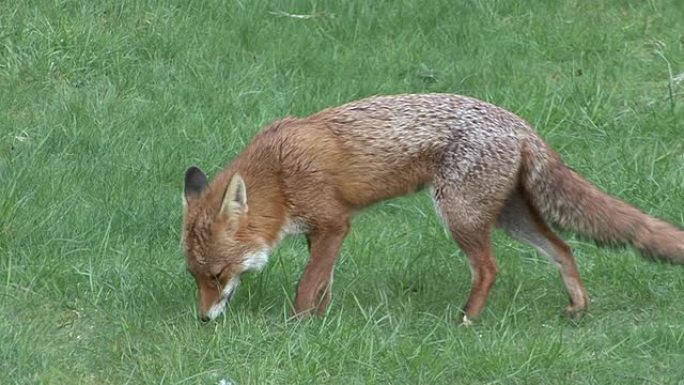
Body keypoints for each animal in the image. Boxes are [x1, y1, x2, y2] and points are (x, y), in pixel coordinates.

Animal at [182, 93, 684, 320]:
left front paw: (300, 325)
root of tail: (520, 123)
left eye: (217, 275)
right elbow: (323, 281)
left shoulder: (334, 223)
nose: (204, 320)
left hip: (460, 215)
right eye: (195, 277)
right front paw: (322, 320)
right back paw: (578, 307)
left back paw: (467, 319)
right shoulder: (319, 232)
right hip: (510, 216)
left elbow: (308, 284)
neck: (279, 174)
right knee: (563, 248)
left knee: (489, 269)